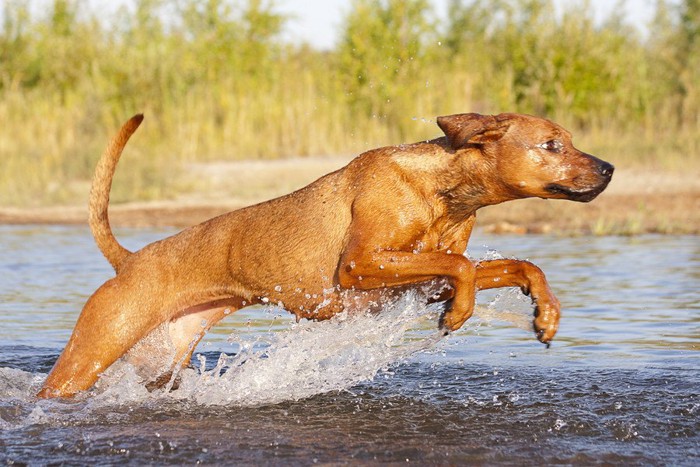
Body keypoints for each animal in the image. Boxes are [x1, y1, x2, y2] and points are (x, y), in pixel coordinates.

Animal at [37, 112, 612, 398]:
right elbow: (463, 266)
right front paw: (462, 313)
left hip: (161, 361)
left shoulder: (420, 280)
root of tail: (129, 259)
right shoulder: (361, 265)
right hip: (88, 355)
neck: (442, 190)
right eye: (552, 145)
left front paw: (546, 312)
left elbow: (511, 265)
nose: (608, 167)